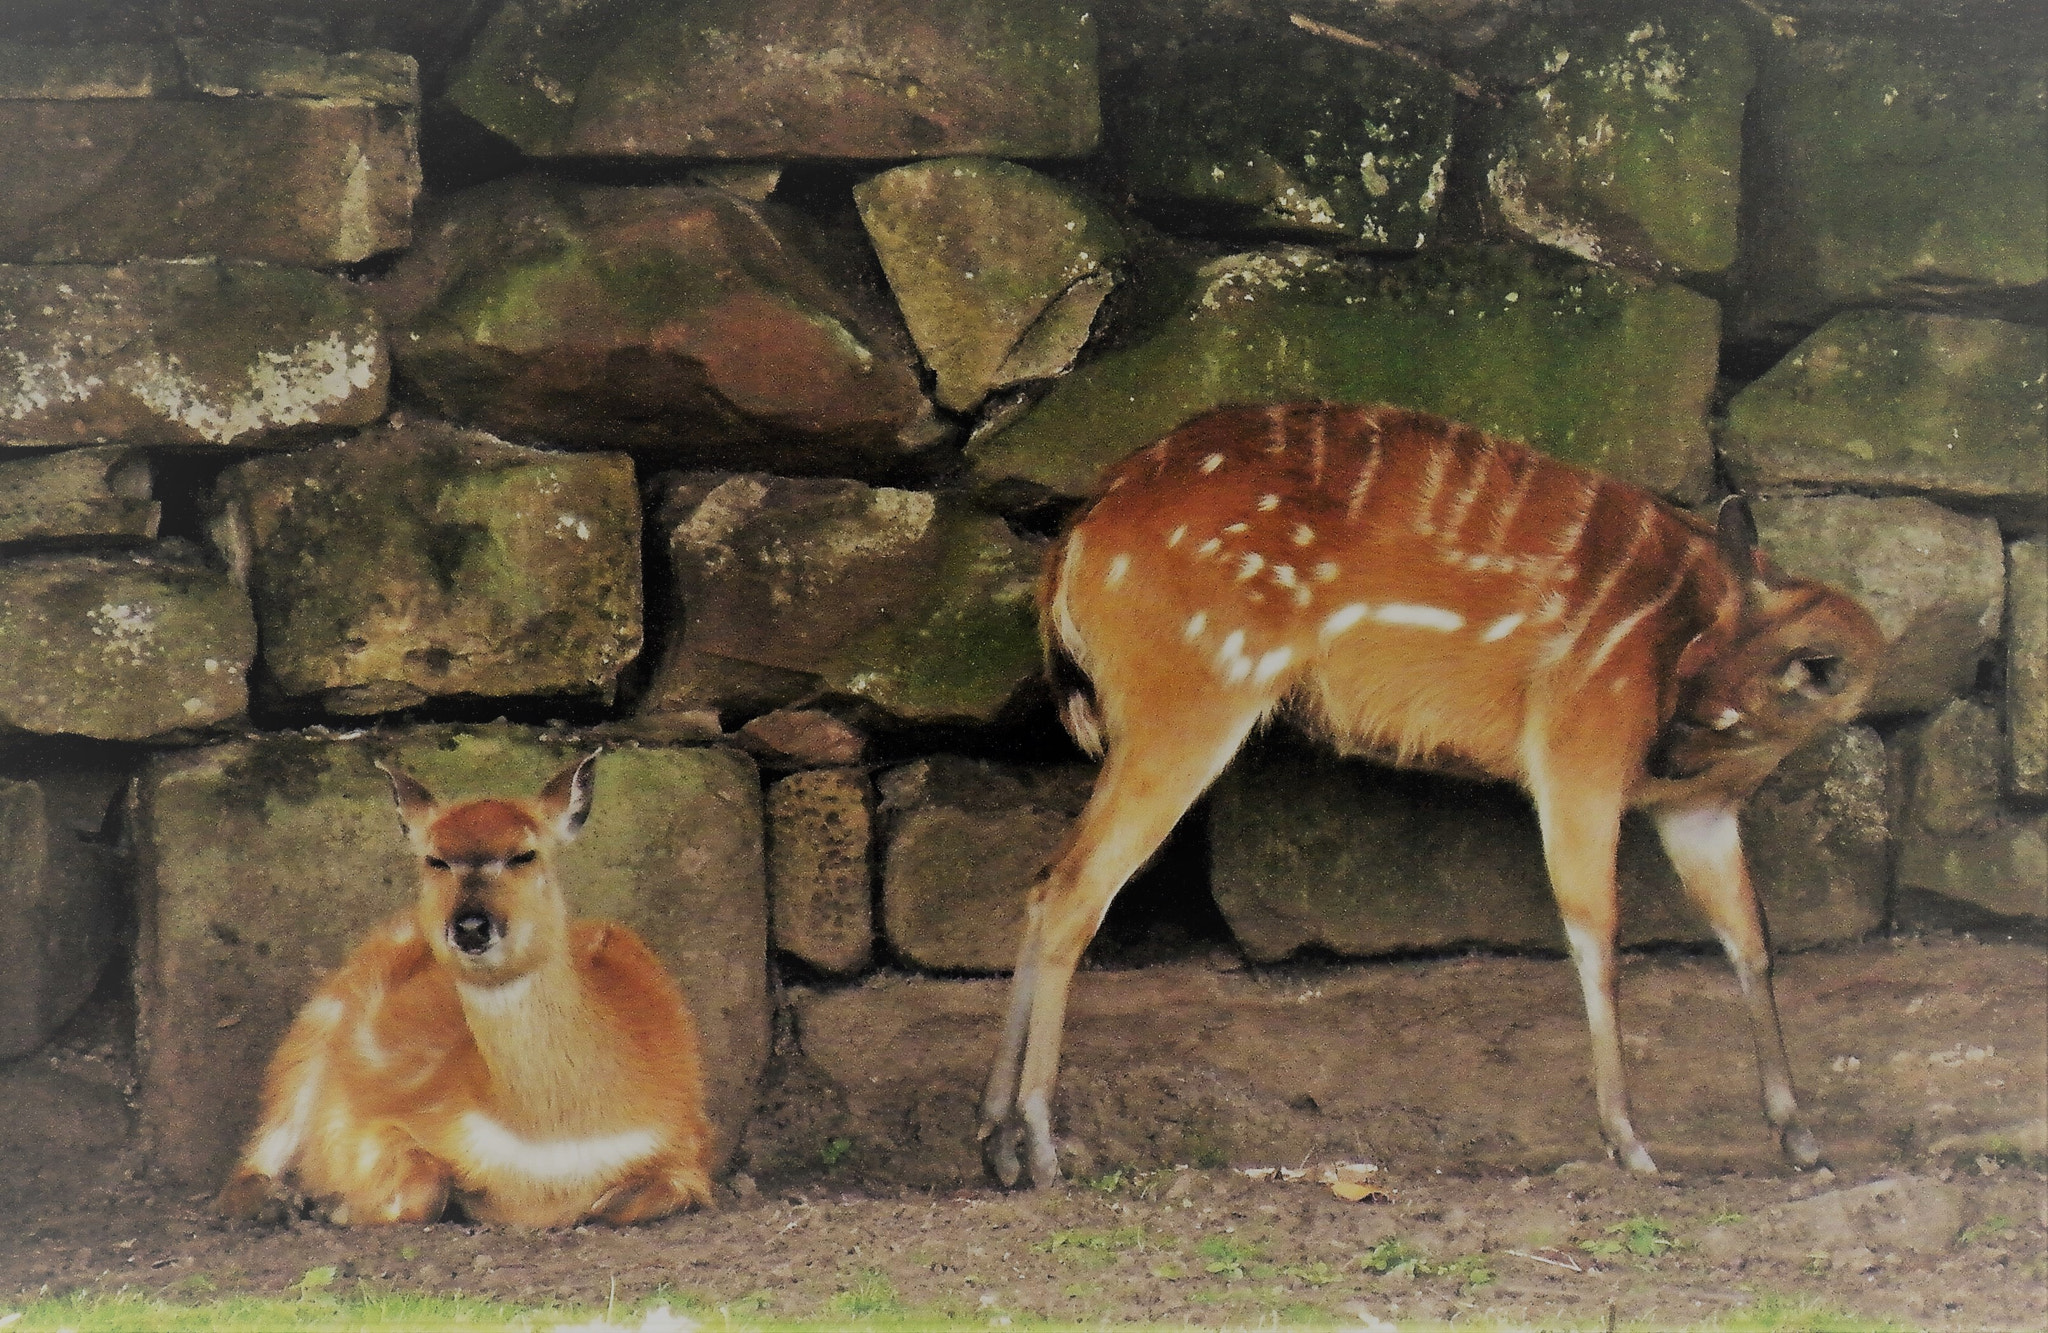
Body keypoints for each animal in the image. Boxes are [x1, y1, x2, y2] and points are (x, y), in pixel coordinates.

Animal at [216, 757, 712, 1228]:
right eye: (435, 859)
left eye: (525, 854)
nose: (471, 926)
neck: (550, 1138)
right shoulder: (369, 1120)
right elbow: (424, 1185)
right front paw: (335, 1205)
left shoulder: (689, 1147)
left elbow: (625, 1202)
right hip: (310, 1037)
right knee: (250, 1160)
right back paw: (278, 1204)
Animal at [983, 399, 1875, 1187]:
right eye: (1684, 682)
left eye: (1716, 709)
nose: (1655, 752)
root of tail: (1075, 544)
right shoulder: (1576, 753)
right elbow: (1597, 931)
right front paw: (1630, 1143)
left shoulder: (1700, 810)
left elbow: (1750, 937)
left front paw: (1802, 1138)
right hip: (1192, 699)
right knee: (1077, 887)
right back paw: (1041, 1143)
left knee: (1041, 880)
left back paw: (996, 1141)